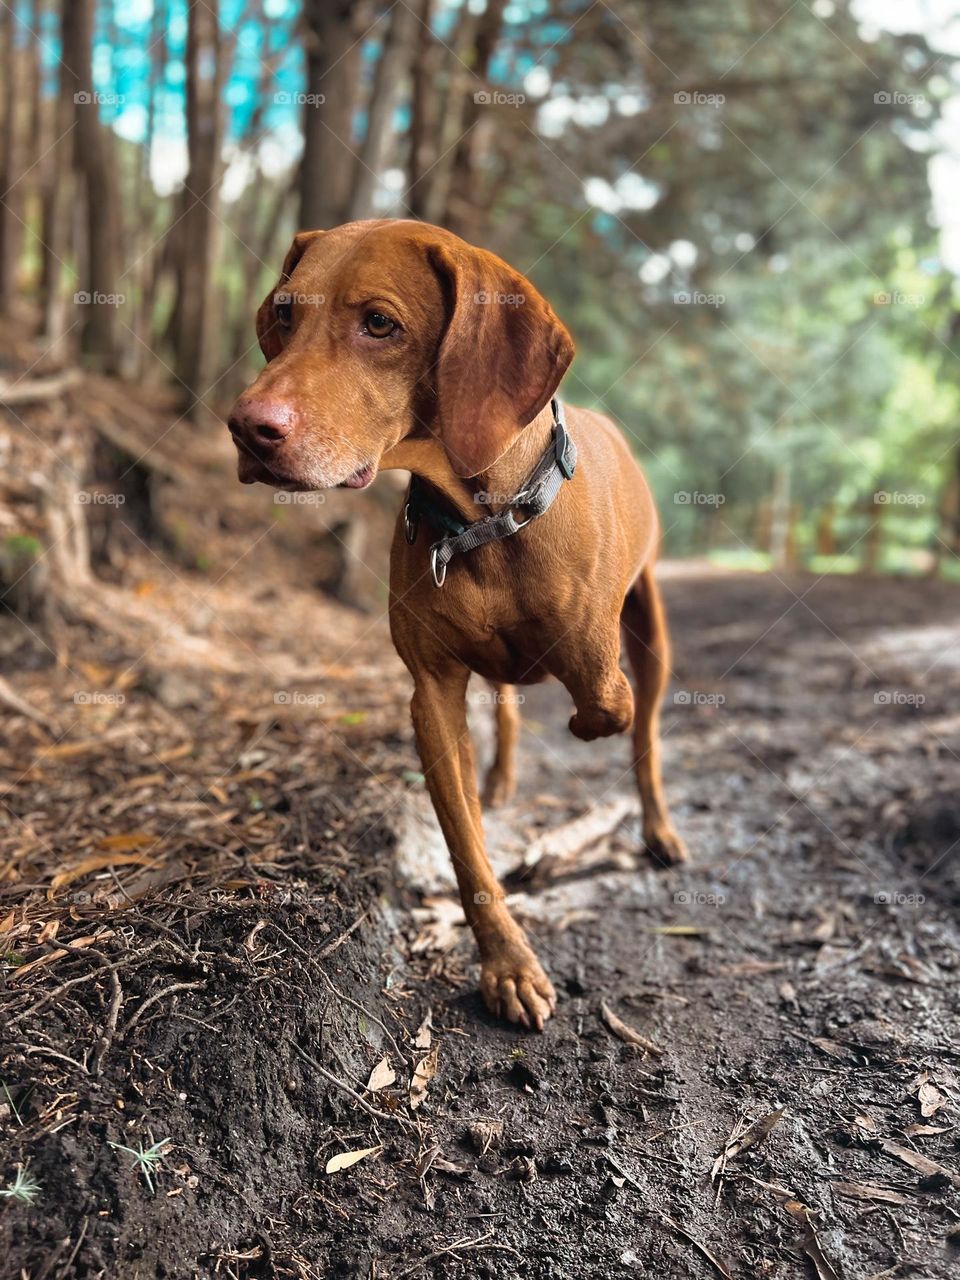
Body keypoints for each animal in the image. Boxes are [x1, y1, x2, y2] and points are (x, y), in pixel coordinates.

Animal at [229, 222, 686, 1029]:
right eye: (284, 313)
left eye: (380, 324)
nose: (246, 429)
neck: (481, 523)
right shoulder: (432, 694)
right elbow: (464, 839)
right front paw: (508, 965)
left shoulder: (595, 657)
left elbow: (606, 702)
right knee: (510, 707)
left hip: (651, 625)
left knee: (645, 732)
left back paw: (658, 829)